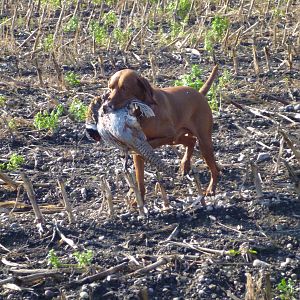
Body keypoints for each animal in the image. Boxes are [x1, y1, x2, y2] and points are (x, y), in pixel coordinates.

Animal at [102, 66, 219, 204]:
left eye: (124, 88)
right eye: (110, 87)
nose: (105, 107)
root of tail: (199, 94)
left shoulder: (170, 134)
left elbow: (149, 144)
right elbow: (140, 181)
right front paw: (138, 201)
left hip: (203, 143)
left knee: (214, 168)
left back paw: (211, 188)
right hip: (179, 138)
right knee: (191, 141)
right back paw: (185, 165)